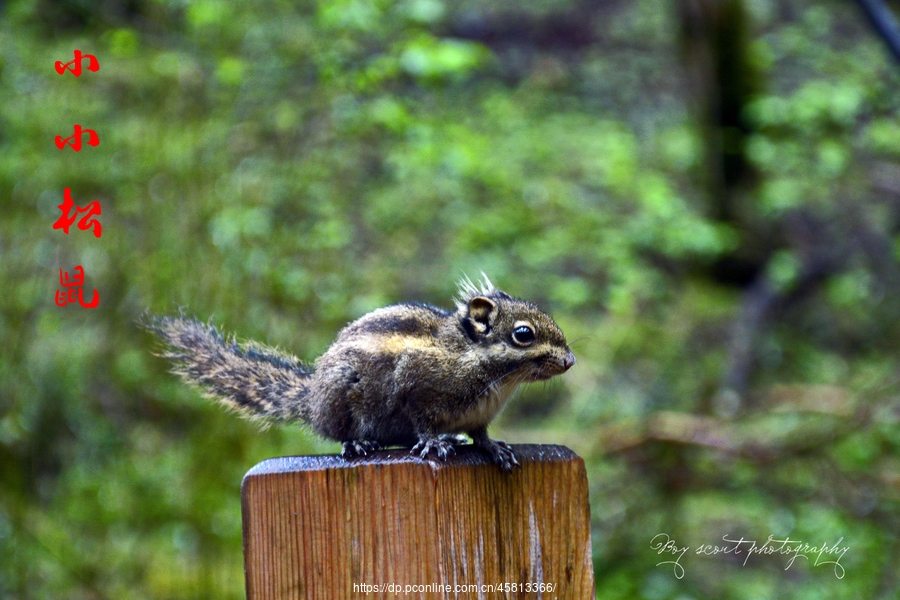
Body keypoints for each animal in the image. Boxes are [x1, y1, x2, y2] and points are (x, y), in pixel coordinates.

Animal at [144, 274, 572, 472]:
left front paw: (494, 447)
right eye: (523, 334)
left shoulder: (480, 414)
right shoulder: (415, 383)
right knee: (340, 433)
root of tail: (312, 399)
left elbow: (480, 433)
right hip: (341, 399)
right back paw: (359, 444)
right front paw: (433, 442)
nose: (569, 361)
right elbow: (422, 419)